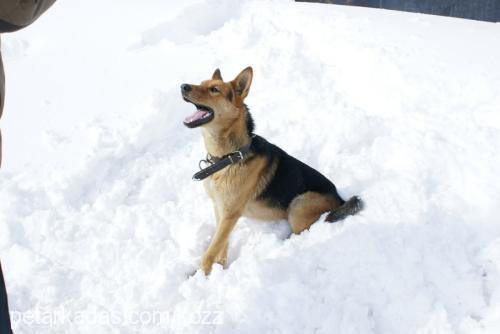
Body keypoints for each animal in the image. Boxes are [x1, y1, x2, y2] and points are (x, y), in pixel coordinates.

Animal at [182, 66, 362, 274]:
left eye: (214, 90)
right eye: (201, 83)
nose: (183, 86)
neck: (230, 157)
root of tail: (340, 199)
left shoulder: (229, 213)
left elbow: (211, 251)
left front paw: (201, 275)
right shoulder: (221, 209)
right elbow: (220, 245)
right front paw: (219, 268)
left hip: (299, 205)